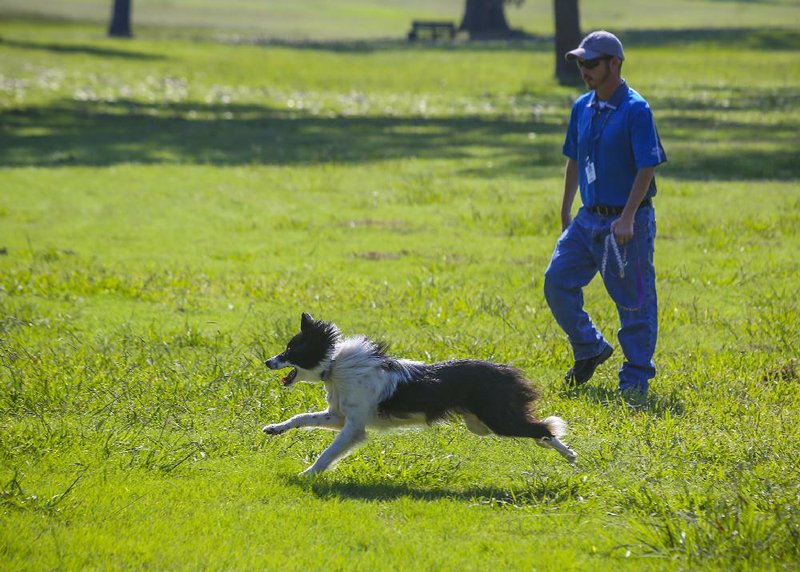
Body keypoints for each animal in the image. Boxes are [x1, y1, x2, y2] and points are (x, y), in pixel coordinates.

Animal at [266, 312, 580, 474]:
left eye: (290, 350)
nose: (268, 362)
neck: (334, 364)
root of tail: (506, 371)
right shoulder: (339, 417)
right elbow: (301, 417)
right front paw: (274, 429)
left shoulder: (354, 427)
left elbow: (329, 452)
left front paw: (309, 473)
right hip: (480, 424)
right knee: (538, 428)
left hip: (498, 420)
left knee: (544, 427)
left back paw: (570, 454)